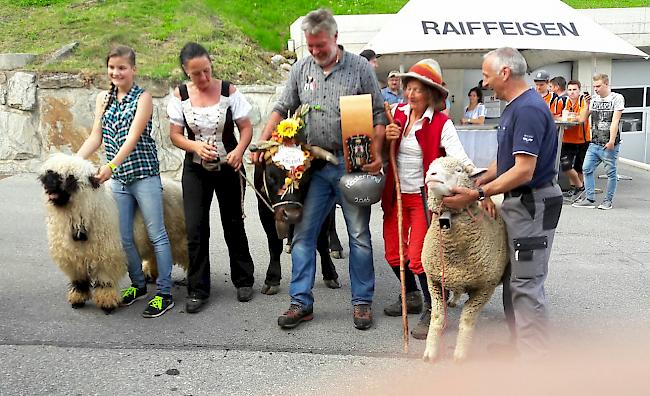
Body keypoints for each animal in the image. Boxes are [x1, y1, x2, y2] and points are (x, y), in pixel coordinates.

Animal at [418, 155, 508, 362]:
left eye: (459, 170)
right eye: (431, 166)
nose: (431, 174)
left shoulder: (485, 288)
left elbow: (467, 319)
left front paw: (460, 354)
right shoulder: (434, 280)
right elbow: (437, 317)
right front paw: (430, 352)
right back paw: (453, 299)